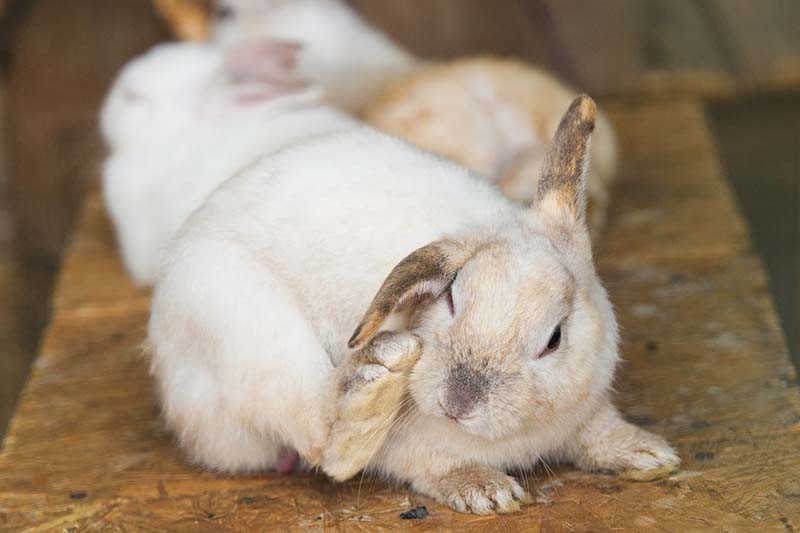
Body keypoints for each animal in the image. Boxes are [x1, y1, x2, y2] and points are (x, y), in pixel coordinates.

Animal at [148, 96, 676, 516]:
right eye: (452, 298)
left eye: (555, 338)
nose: (459, 401)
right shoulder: (407, 446)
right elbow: (430, 465)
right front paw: (485, 492)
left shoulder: (585, 409)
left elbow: (598, 431)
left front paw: (650, 455)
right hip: (252, 333)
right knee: (324, 438)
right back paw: (377, 379)